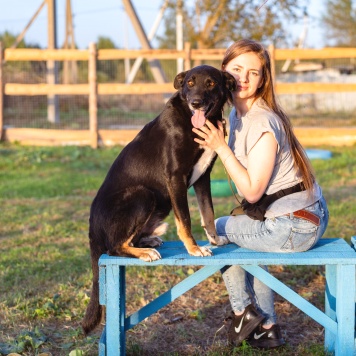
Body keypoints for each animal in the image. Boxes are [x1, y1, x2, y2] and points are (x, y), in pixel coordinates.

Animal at [81, 64, 235, 334]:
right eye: (190, 83)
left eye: (211, 83)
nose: (195, 103)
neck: (195, 122)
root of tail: (92, 226)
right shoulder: (175, 178)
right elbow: (185, 220)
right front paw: (194, 249)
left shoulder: (203, 177)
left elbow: (208, 213)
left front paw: (215, 239)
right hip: (143, 194)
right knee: (115, 246)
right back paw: (144, 252)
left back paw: (147, 241)